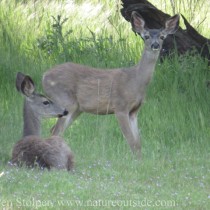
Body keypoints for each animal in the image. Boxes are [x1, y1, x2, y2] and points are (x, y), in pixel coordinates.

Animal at [42, 11, 179, 158]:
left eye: (162, 36)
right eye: (146, 36)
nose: (155, 45)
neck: (136, 81)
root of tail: (44, 76)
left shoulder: (134, 111)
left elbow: (138, 143)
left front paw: (140, 160)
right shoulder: (120, 107)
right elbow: (131, 141)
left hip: (77, 108)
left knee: (55, 130)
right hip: (65, 100)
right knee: (56, 131)